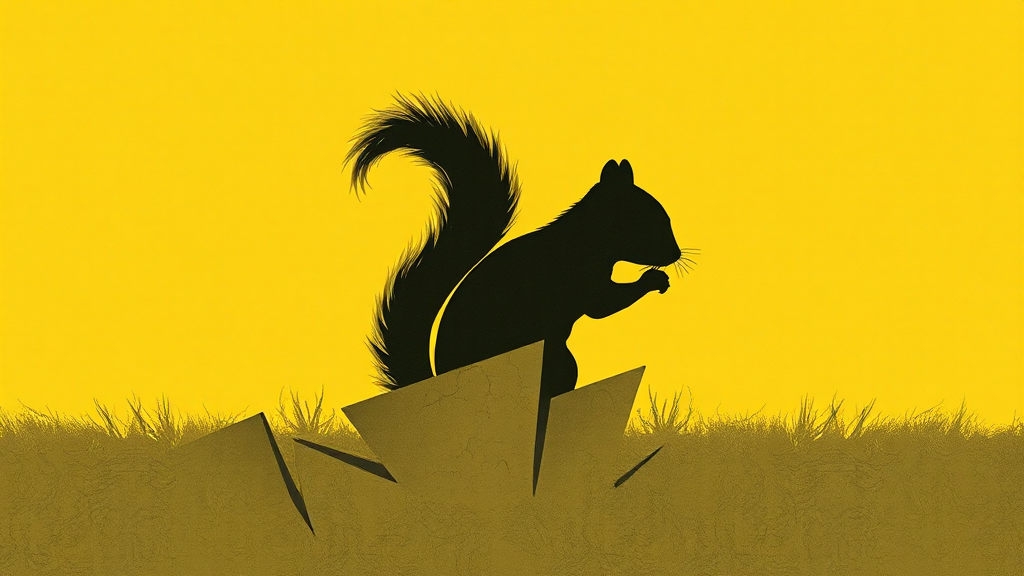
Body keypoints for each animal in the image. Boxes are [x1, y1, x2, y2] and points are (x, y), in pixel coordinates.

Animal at [346, 95, 685, 403]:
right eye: (651, 222)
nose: (676, 254)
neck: (584, 236)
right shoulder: (581, 279)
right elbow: (604, 304)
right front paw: (654, 279)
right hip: (556, 362)